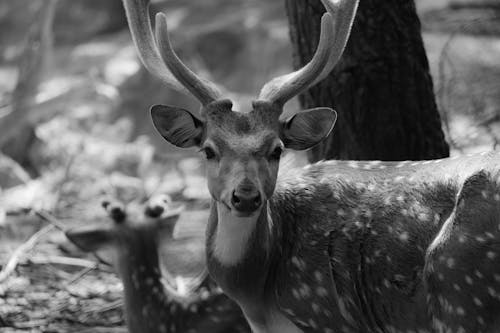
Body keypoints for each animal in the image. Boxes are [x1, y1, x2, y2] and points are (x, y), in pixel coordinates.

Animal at [122, 0, 500, 330]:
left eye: (276, 150)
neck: (258, 298)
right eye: (209, 150)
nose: (245, 196)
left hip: (459, 285)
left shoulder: (327, 316)